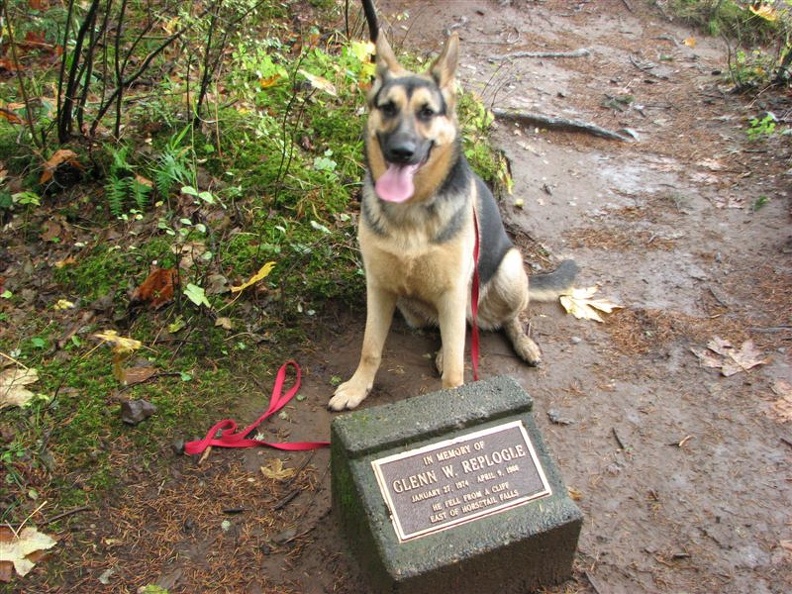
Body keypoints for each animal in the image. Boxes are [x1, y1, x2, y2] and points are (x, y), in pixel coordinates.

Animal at [328, 27, 576, 408]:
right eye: (388, 108)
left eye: (427, 112)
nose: (401, 151)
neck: (412, 208)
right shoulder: (380, 287)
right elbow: (370, 347)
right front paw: (357, 387)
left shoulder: (455, 289)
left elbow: (458, 368)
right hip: (414, 308)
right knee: (457, 328)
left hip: (506, 273)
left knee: (503, 319)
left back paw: (523, 343)